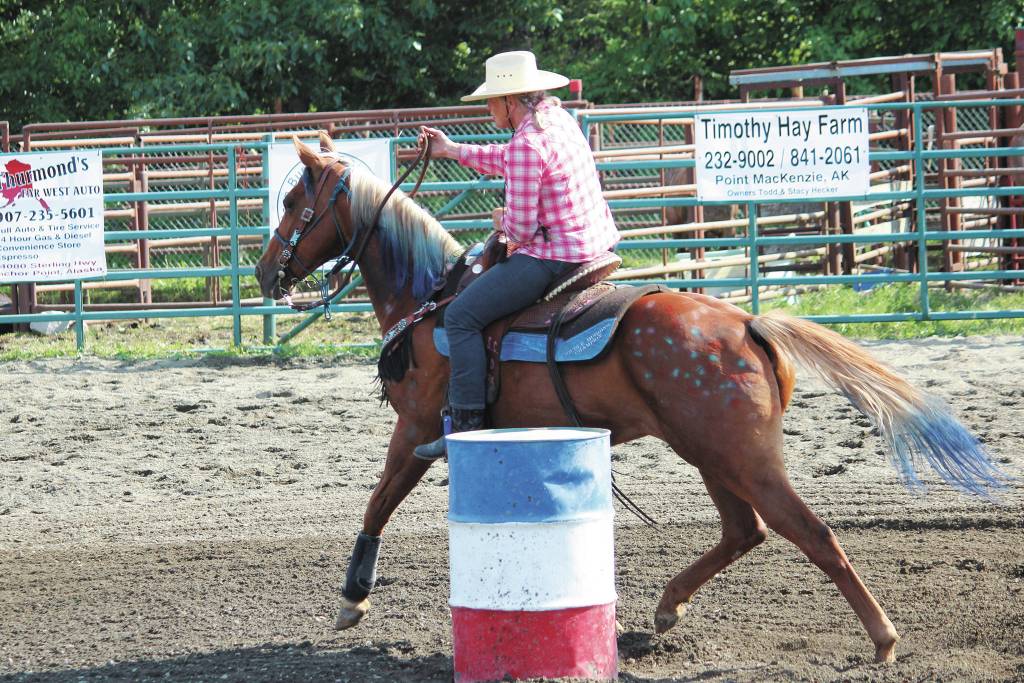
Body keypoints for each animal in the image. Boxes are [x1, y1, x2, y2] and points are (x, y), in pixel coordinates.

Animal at [254, 132, 1004, 664]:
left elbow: (377, 501)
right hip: (709, 452)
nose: (265, 273)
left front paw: (352, 597)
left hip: (740, 455)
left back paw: (882, 638)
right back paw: (668, 608)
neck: (431, 296)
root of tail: (747, 322)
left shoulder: (416, 428)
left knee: (809, 532)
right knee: (746, 530)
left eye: (294, 204)